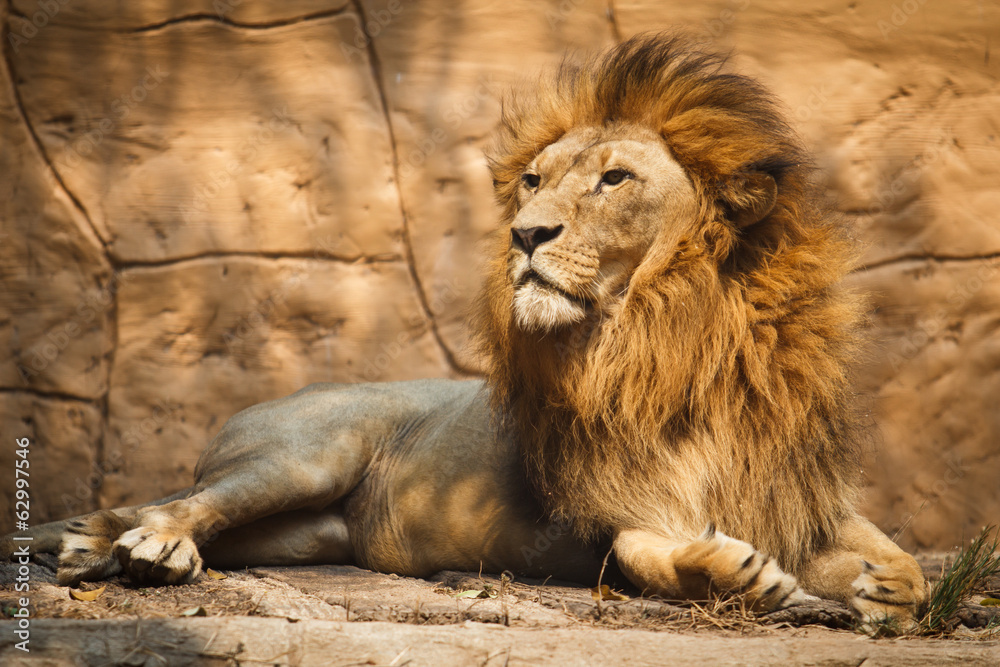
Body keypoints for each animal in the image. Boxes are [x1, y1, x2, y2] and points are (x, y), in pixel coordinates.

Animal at [3, 34, 927, 628]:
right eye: (533, 181)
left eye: (613, 179)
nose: (525, 234)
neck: (671, 335)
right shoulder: (621, 506)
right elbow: (652, 554)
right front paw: (746, 573)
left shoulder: (795, 489)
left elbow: (901, 566)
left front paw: (879, 585)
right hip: (302, 456)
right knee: (177, 502)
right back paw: (149, 550)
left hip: (308, 531)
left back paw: (93, 550)